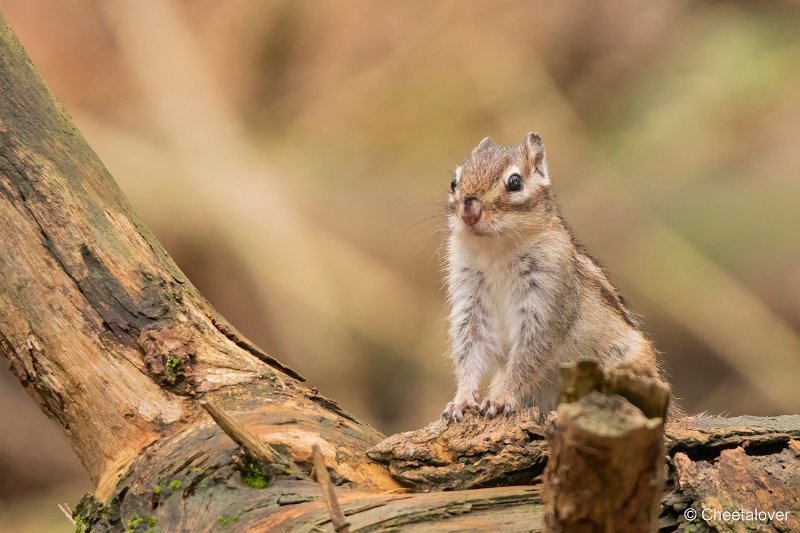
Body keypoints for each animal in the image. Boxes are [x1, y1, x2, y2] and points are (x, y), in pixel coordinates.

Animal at [440, 132, 664, 420]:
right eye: (454, 181)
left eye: (515, 182)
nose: (469, 210)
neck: (496, 252)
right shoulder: (470, 300)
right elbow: (470, 349)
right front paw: (462, 400)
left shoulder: (547, 299)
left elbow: (527, 357)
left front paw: (499, 399)